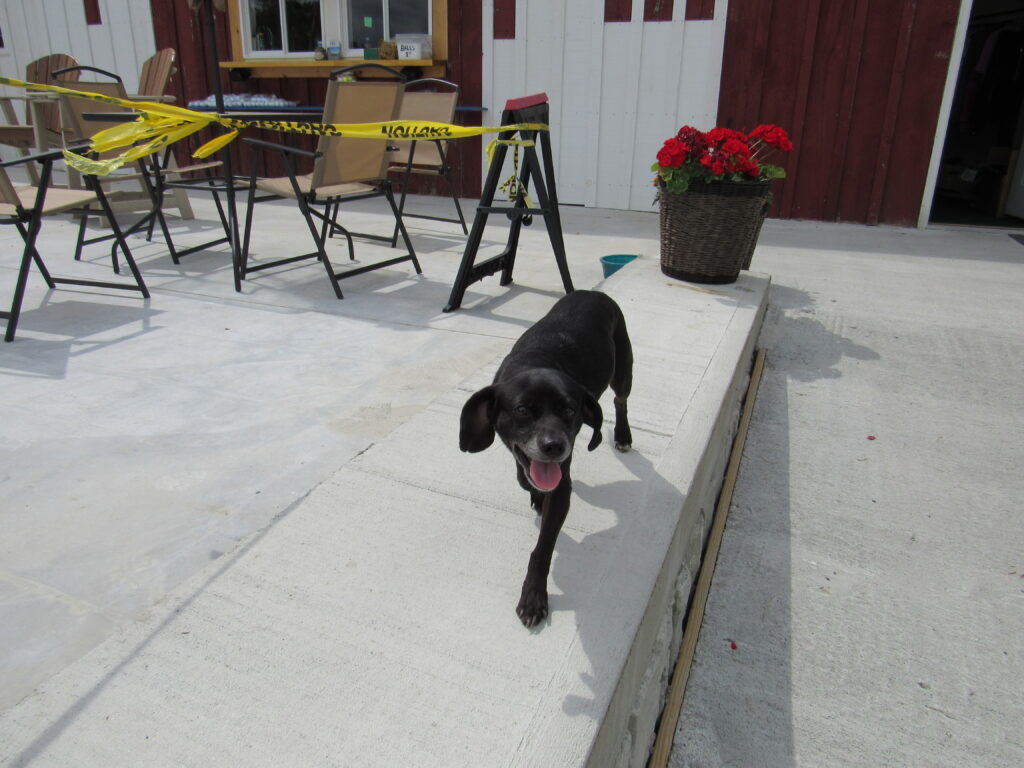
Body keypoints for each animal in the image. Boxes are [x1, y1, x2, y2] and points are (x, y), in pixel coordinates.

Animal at [458, 290, 630, 626]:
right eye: (522, 410)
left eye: (570, 410)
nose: (554, 446)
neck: (536, 360)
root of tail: (593, 293)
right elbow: (524, 477)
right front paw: (535, 494)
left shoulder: (562, 486)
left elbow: (543, 548)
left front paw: (534, 597)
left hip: (623, 372)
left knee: (620, 400)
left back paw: (624, 435)